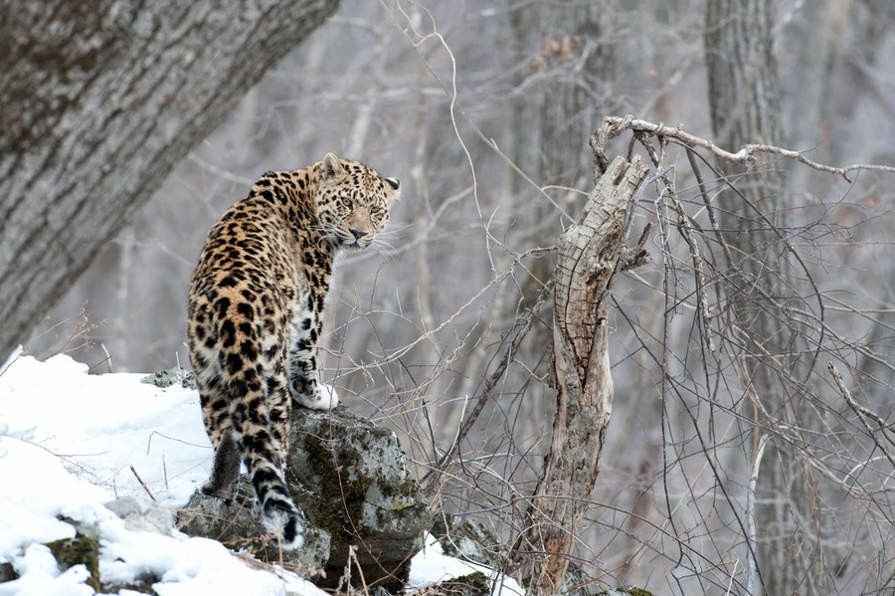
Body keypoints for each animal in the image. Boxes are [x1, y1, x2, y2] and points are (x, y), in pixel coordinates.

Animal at [187, 154, 400, 548]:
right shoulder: (310, 308)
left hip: (207, 370)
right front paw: (320, 398)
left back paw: (218, 489)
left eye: (376, 211)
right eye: (347, 203)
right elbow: (306, 359)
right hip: (269, 377)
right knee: (269, 446)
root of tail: (231, 306)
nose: (359, 233)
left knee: (225, 435)